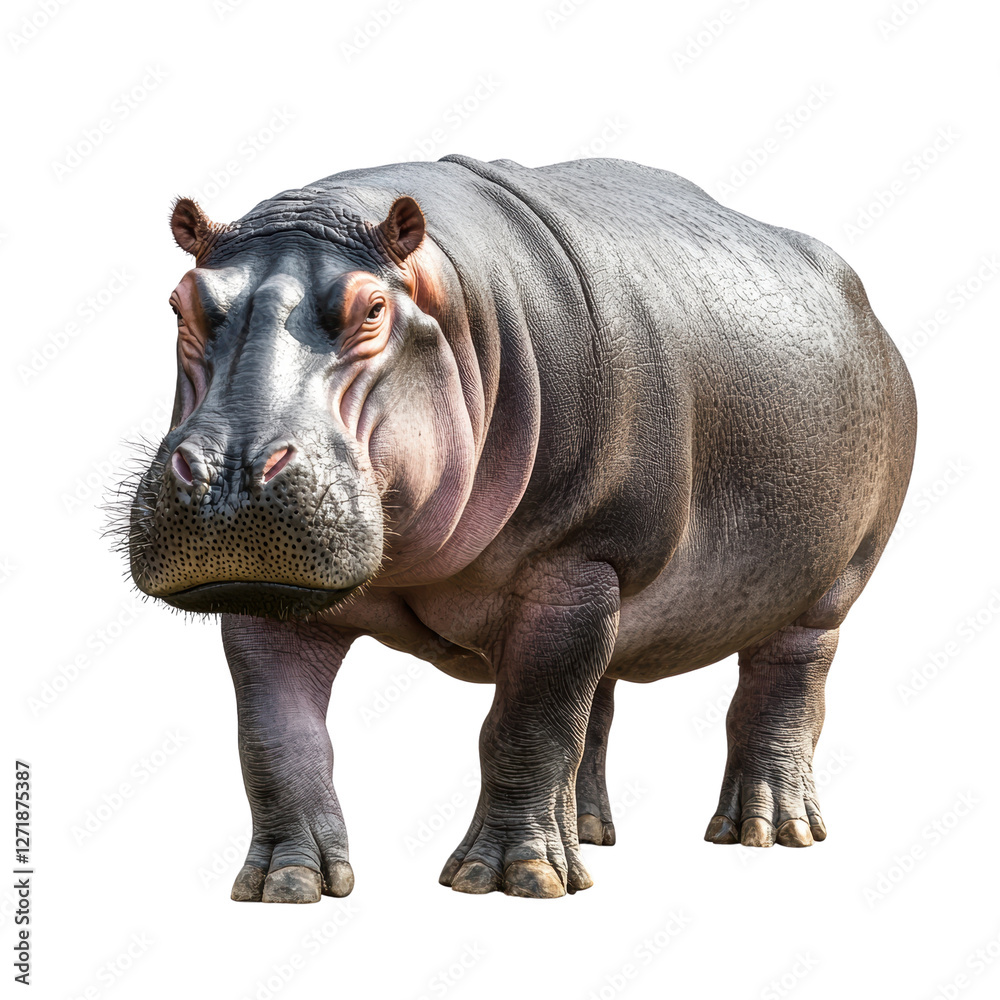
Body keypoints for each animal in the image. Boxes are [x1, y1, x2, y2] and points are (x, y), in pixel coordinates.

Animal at [124, 154, 916, 901]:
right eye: (179, 304)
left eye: (373, 308)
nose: (229, 471)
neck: (451, 297)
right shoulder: (269, 594)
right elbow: (276, 740)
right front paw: (286, 883)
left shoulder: (576, 560)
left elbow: (525, 727)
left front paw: (512, 878)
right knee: (595, 699)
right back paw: (588, 837)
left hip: (823, 584)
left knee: (784, 686)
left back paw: (767, 831)